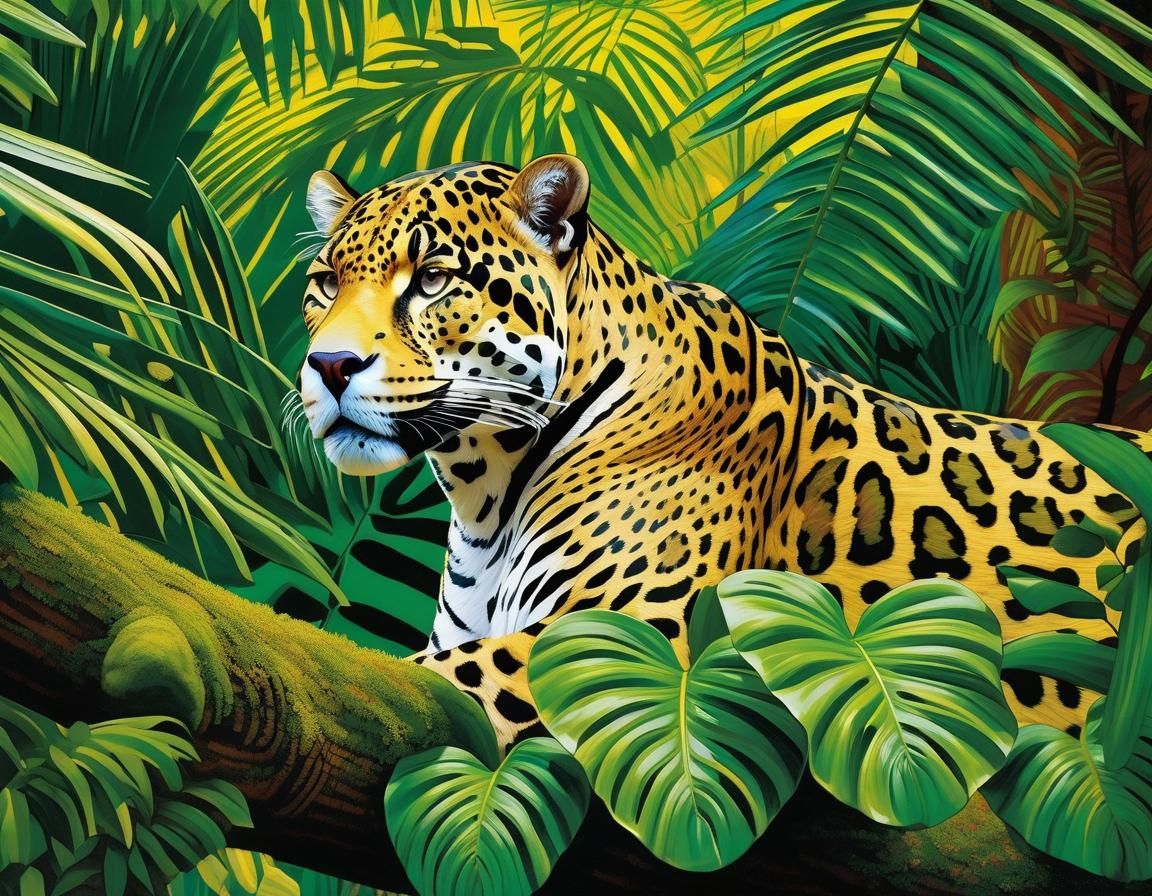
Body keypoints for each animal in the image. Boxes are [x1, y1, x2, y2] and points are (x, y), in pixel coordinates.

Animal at [298, 153, 1148, 749]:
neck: (486, 492)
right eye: (326, 282)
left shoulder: (637, 640)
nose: (330, 365)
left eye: (434, 280)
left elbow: (422, 677)